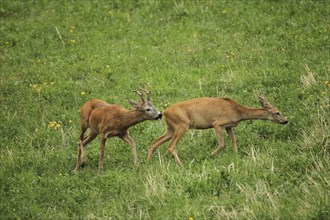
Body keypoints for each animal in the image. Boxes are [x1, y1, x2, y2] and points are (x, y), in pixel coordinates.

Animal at [148, 96, 288, 165]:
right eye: (277, 112)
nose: (285, 121)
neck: (237, 111)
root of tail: (165, 112)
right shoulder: (218, 123)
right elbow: (222, 144)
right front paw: (209, 156)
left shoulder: (229, 126)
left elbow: (234, 141)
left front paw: (235, 156)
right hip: (182, 125)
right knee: (171, 146)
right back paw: (181, 164)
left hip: (171, 128)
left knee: (155, 142)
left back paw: (147, 162)